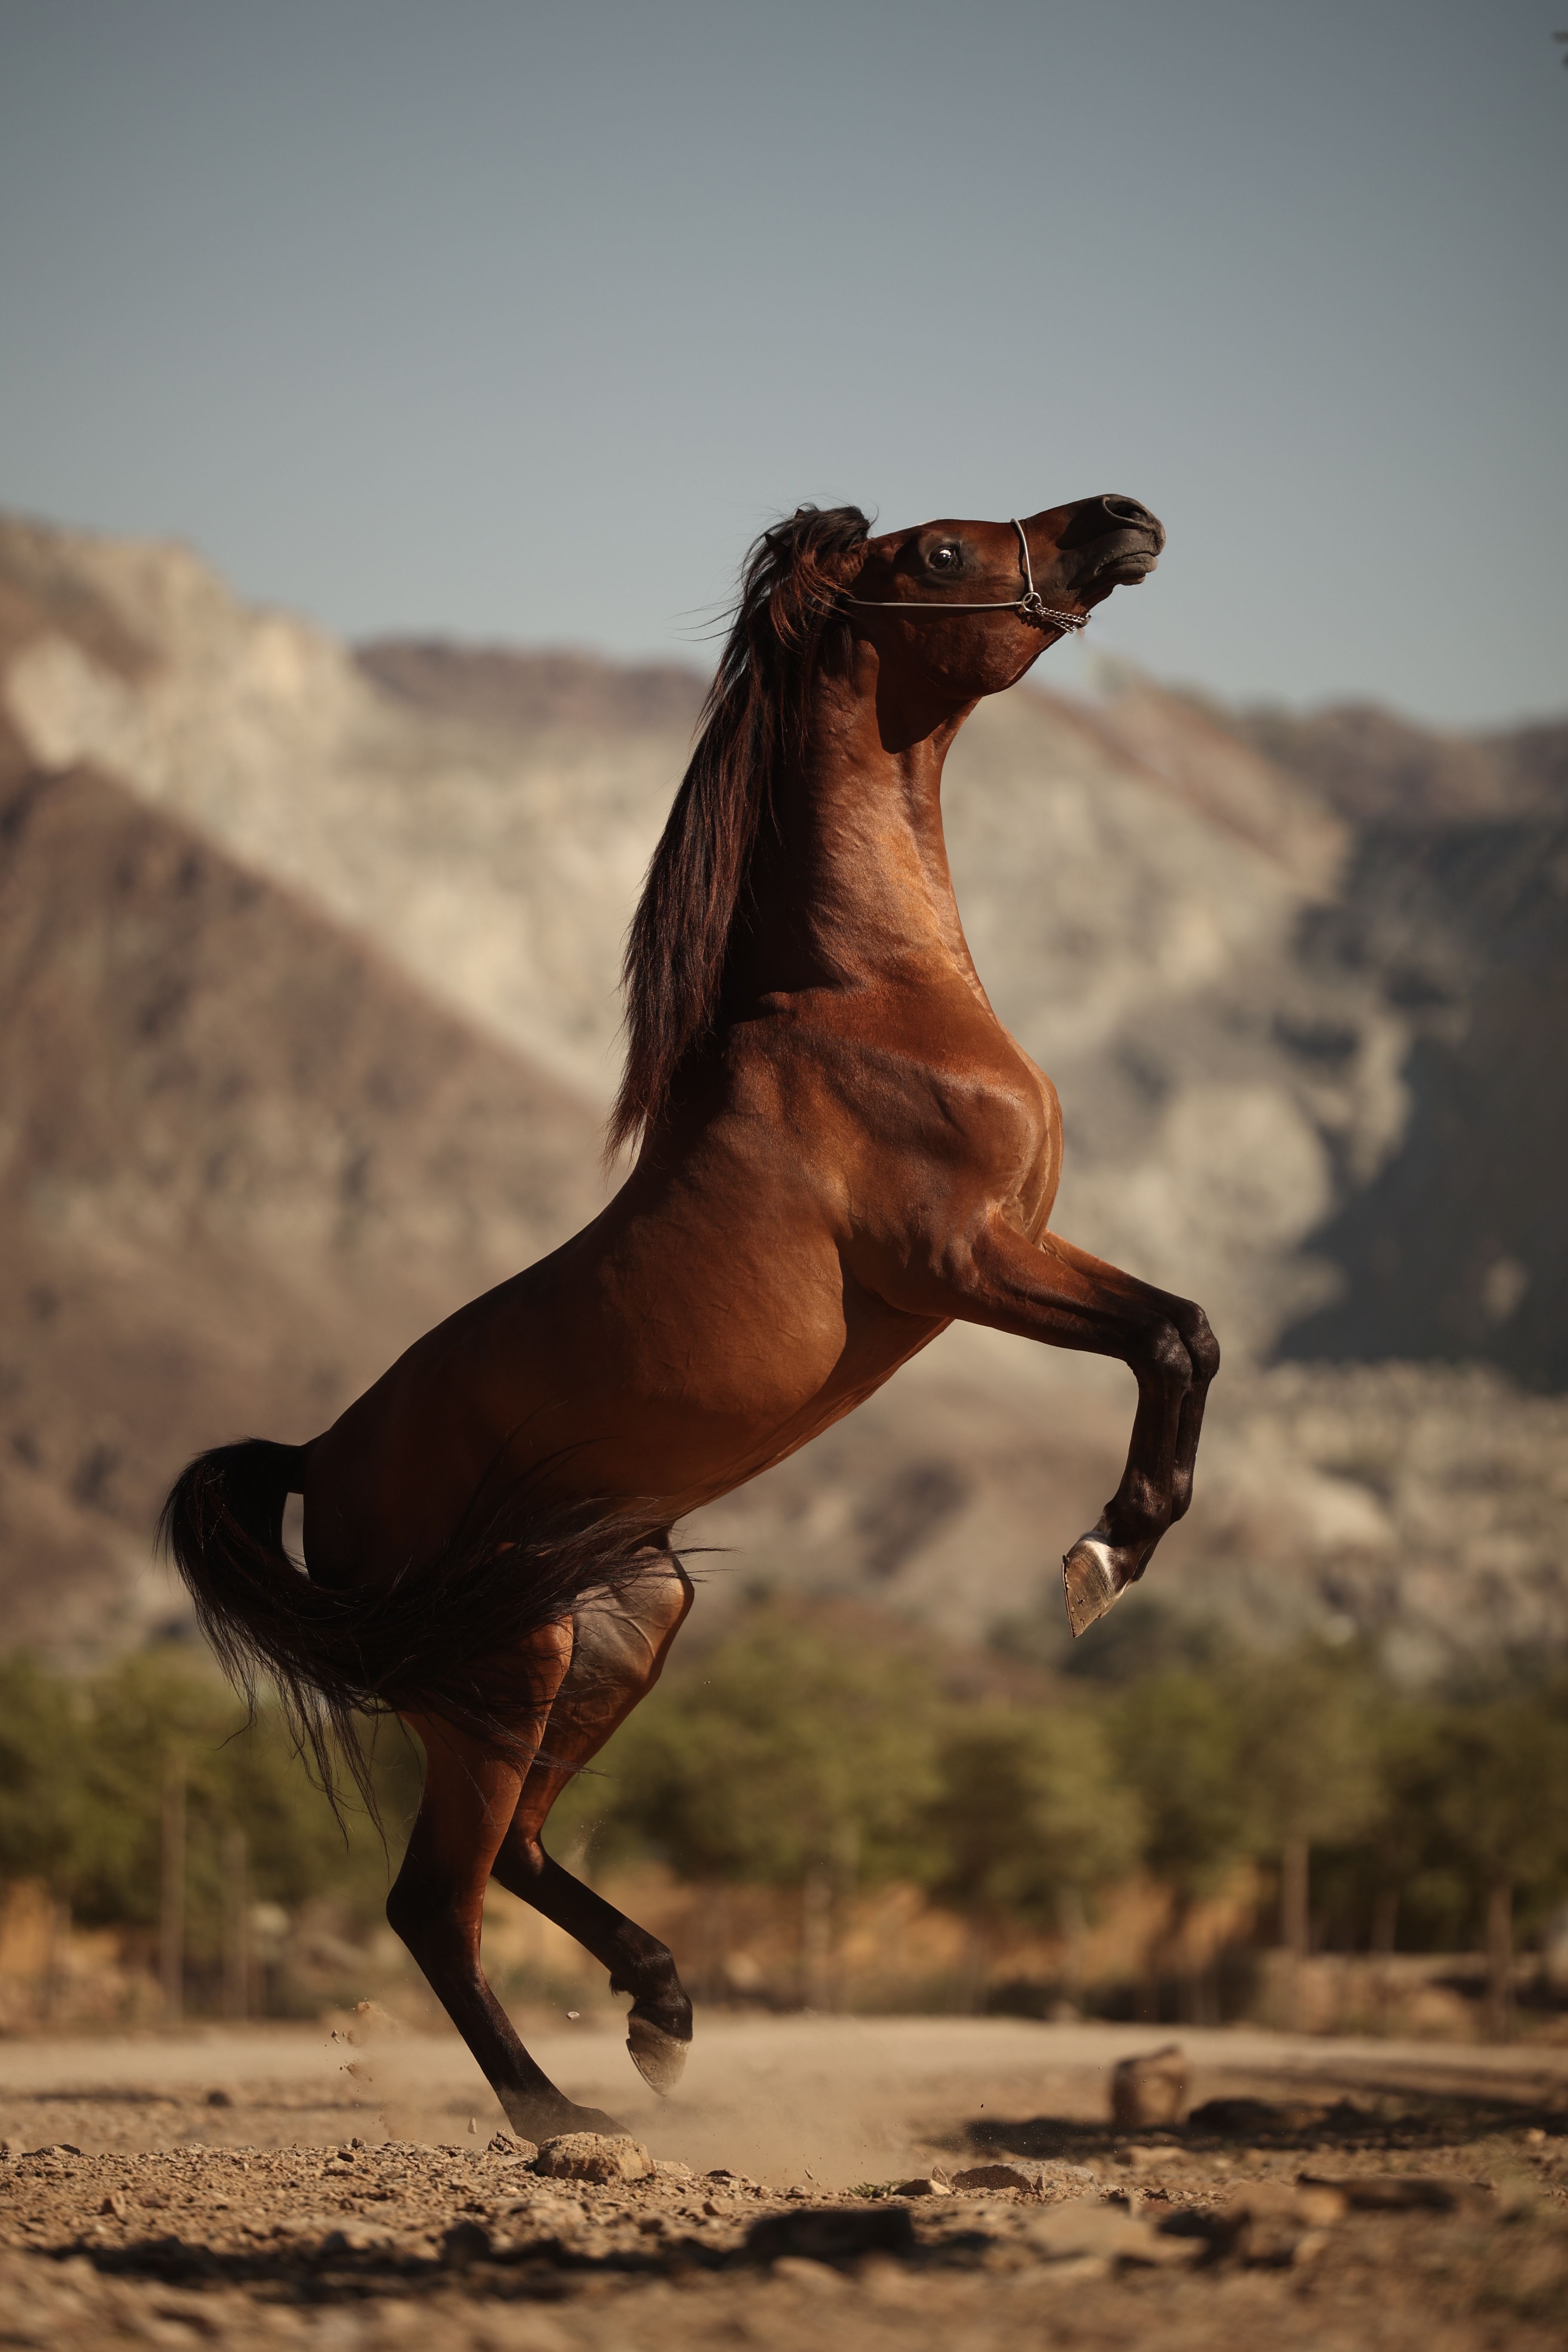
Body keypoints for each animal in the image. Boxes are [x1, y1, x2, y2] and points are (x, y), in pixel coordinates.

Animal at [162, 491, 1218, 2138]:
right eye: (934, 553)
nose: (1121, 519)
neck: (869, 996)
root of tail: (315, 1461)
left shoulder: (1024, 1246)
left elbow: (1192, 1329)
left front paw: (1118, 1545)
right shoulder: (966, 1263)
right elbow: (1170, 1336)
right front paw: (1105, 1553)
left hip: (623, 1623)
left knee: (520, 1853)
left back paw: (660, 2014)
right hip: (504, 1668)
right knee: (433, 1898)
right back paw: (561, 2115)